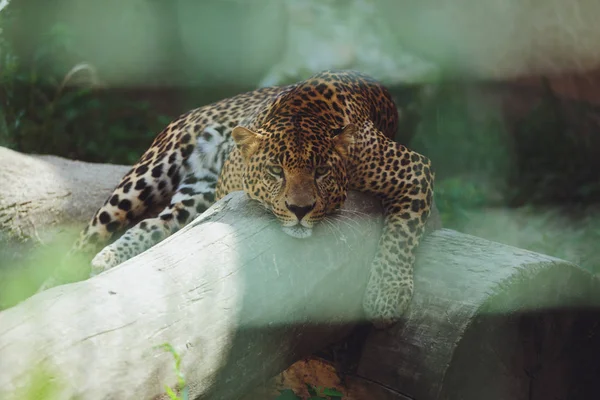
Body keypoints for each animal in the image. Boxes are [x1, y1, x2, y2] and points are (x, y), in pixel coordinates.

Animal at [44, 71, 434, 328]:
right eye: (276, 171)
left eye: (322, 172)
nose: (300, 209)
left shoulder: (415, 170)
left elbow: (402, 234)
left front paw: (387, 295)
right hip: (149, 172)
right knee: (93, 232)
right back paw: (60, 283)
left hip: (194, 197)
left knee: (154, 225)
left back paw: (110, 258)